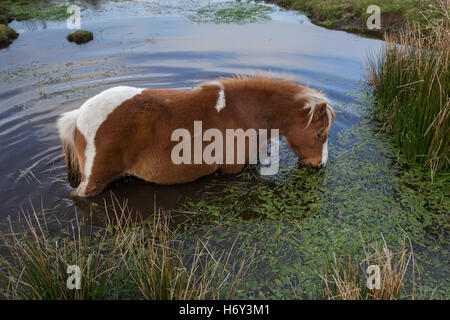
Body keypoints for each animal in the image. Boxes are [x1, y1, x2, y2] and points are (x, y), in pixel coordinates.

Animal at [57, 77, 334, 198]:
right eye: (320, 133)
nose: (320, 165)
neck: (243, 111)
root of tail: (79, 115)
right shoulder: (232, 169)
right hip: (93, 183)